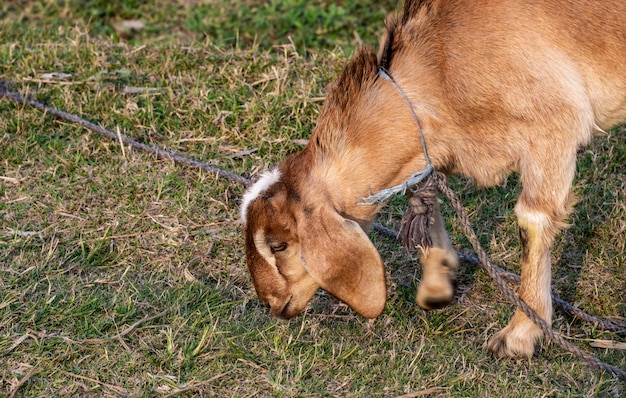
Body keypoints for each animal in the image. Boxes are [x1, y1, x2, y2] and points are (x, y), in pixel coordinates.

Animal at [239, 0, 624, 360]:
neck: (439, 70)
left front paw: (519, 334)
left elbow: (532, 223)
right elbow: (424, 197)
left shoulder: (554, 128)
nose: (270, 303)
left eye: (278, 245)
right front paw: (437, 287)